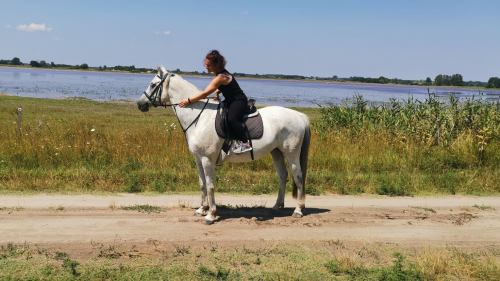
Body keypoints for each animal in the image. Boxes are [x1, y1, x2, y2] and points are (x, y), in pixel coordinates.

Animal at [136, 65, 308, 223]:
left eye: (153, 84)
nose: (139, 104)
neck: (200, 117)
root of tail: (299, 116)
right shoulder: (198, 159)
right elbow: (202, 184)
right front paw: (201, 209)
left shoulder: (208, 159)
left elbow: (210, 185)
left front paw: (211, 214)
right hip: (276, 152)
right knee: (283, 176)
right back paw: (277, 206)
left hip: (291, 154)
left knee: (298, 177)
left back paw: (298, 210)